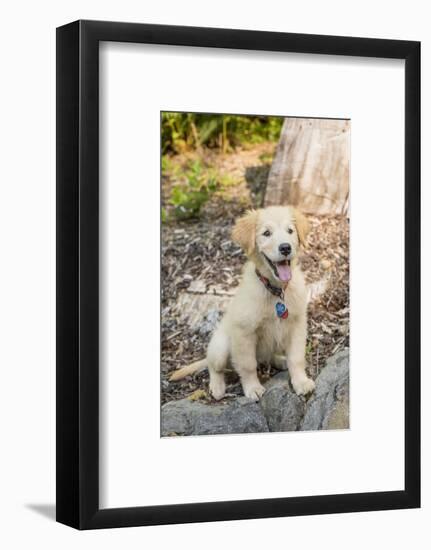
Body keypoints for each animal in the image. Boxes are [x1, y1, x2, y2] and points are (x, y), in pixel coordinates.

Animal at [170, 206, 316, 402]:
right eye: (266, 233)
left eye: (290, 231)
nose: (286, 247)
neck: (276, 290)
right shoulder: (243, 332)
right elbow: (248, 365)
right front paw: (253, 388)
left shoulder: (297, 325)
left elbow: (297, 357)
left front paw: (301, 382)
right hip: (220, 346)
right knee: (214, 367)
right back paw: (217, 387)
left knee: (268, 356)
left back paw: (280, 360)